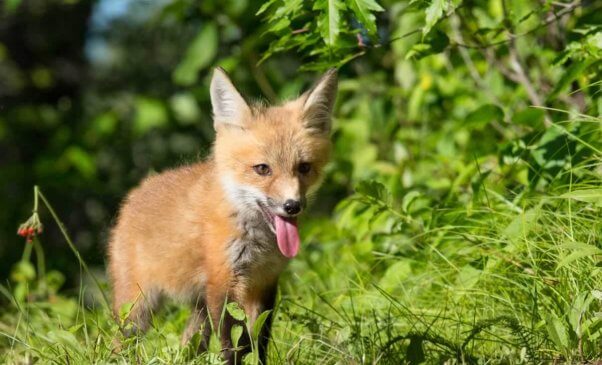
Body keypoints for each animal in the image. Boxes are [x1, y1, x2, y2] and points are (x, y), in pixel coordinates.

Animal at [105, 67, 336, 362]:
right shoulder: (223, 284)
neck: (259, 244)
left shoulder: (265, 282)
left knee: (189, 348)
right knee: (119, 344)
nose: (292, 205)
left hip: (199, 310)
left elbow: (257, 341)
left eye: (304, 167)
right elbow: (232, 344)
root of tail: (136, 192)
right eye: (262, 169)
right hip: (137, 310)